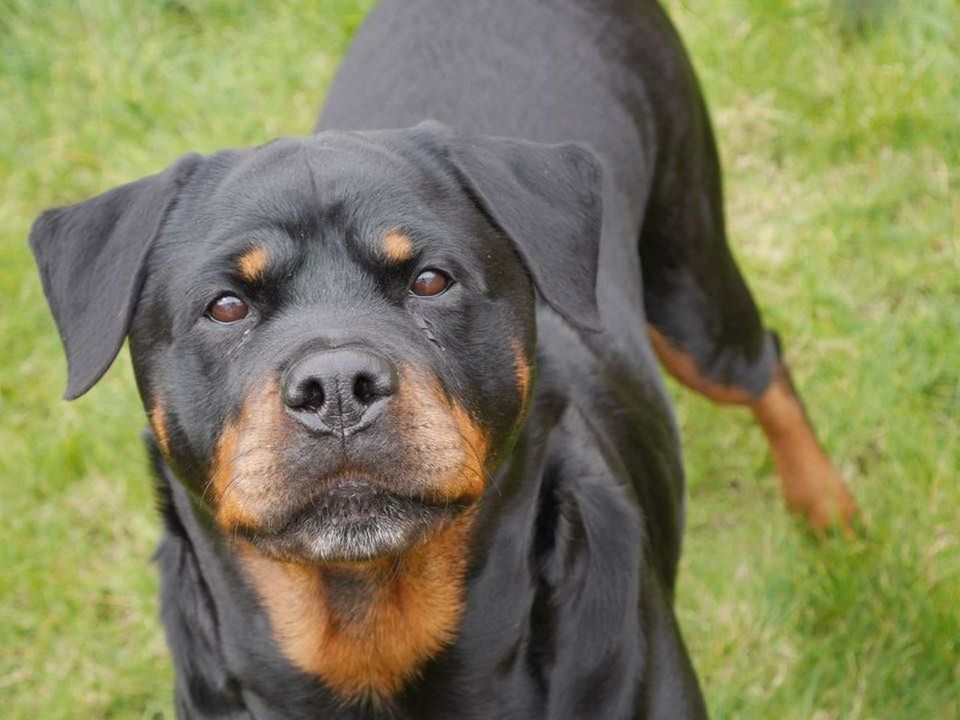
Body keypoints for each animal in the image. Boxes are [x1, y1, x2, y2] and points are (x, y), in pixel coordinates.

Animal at [28, 1, 856, 720]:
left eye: (431, 280)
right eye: (226, 305)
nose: (337, 386)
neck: (376, 658)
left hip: (689, 278)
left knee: (762, 365)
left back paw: (829, 510)